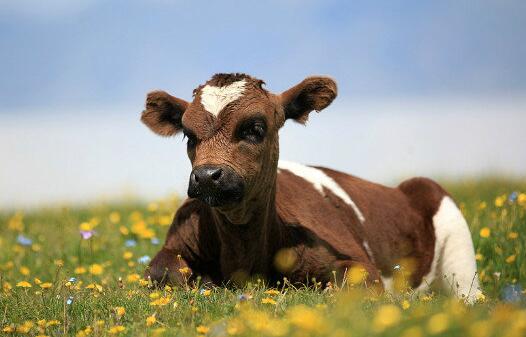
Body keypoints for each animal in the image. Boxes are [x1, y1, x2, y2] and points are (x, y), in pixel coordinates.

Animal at [140, 73, 482, 300]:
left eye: (255, 128)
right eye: (188, 134)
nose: (207, 175)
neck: (243, 255)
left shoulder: (359, 264)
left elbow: (349, 281)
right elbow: (163, 270)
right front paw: (206, 283)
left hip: (461, 264)